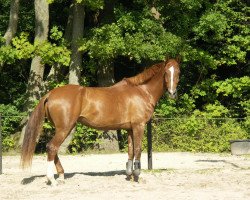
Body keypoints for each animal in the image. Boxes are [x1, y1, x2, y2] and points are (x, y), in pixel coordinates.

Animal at [20, 57, 180, 184]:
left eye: (178, 72)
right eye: (166, 72)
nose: (172, 93)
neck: (141, 91)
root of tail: (51, 93)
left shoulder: (130, 128)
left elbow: (130, 150)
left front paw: (129, 175)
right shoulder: (138, 126)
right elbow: (138, 150)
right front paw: (137, 176)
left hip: (61, 129)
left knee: (53, 148)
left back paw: (61, 176)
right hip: (64, 128)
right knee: (52, 147)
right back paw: (52, 180)